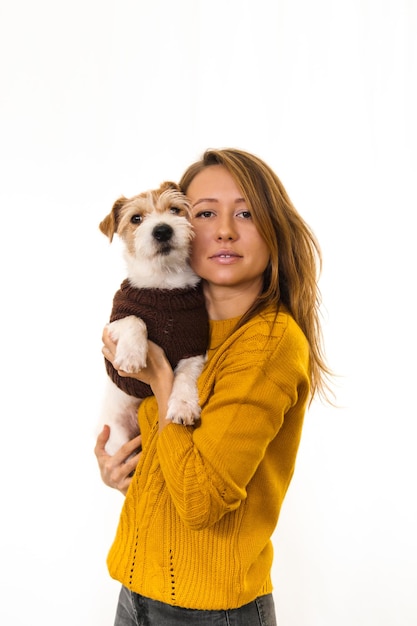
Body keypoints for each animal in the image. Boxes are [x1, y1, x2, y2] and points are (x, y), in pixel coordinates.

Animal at [97, 180, 208, 454]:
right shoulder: (113, 324)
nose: (162, 230)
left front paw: (183, 406)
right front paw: (132, 356)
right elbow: (135, 320)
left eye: (175, 209)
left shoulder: (193, 347)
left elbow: (184, 376)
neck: (164, 284)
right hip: (118, 438)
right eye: (136, 218)